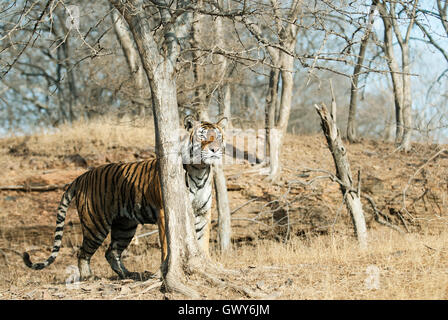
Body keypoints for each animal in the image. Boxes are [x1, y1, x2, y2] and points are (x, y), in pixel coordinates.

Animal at [22, 115, 226, 280]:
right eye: (202, 136)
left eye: (218, 136)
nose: (215, 149)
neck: (200, 170)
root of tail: (82, 176)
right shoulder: (166, 212)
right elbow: (168, 246)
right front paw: (162, 273)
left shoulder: (203, 212)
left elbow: (202, 241)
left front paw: (207, 264)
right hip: (95, 224)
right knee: (83, 252)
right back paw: (88, 276)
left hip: (124, 226)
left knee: (111, 251)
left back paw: (128, 274)